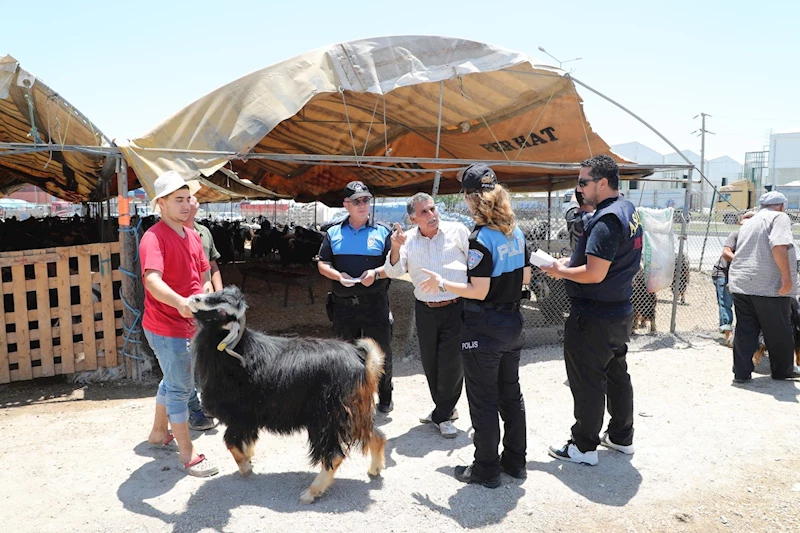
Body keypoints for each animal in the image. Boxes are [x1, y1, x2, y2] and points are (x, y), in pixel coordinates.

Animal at [188, 286, 388, 502]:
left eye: (223, 311)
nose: (194, 299)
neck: (237, 353)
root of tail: (363, 364)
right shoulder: (249, 420)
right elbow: (245, 441)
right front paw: (249, 459)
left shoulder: (241, 416)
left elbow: (231, 442)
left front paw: (246, 467)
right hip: (353, 413)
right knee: (376, 435)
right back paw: (375, 469)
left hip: (327, 419)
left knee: (334, 455)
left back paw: (311, 493)